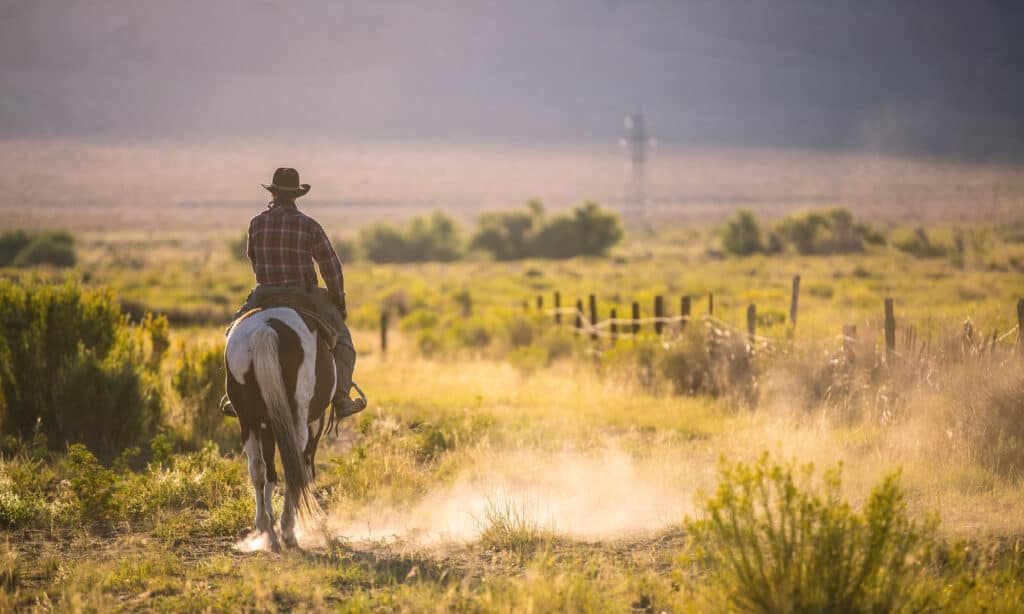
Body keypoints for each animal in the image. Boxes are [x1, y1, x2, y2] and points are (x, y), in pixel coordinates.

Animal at [224, 309, 352, 548]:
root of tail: (265, 329)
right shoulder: (314, 424)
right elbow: (305, 469)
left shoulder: (267, 424)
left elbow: (270, 471)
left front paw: (269, 518)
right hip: (297, 419)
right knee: (294, 464)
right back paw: (288, 530)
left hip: (247, 420)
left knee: (257, 467)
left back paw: (265, 528)